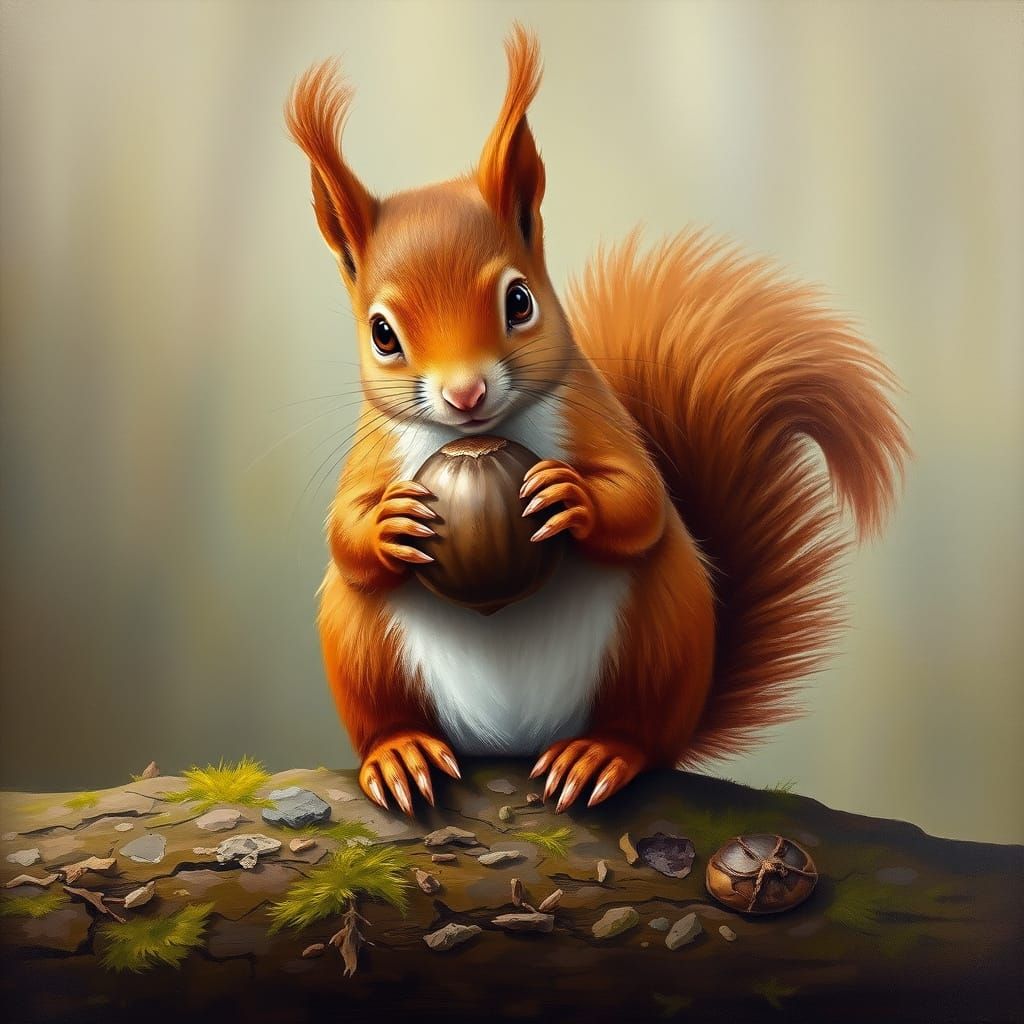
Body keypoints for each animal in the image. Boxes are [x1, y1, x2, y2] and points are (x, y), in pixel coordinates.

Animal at [285, 26, 909, 816]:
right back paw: (400, 751)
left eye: (519, 301)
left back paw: (601, 754)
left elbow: (640, 498)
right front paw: (387, 522)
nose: (465, 395)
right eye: (382, 335)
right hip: (359, 642)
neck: (482, 439)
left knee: (641, 728)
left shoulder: (594, 414)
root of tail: (511, 741)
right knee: (379, 690)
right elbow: (344, 533)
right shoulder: (375, 445)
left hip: (661, 630)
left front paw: (572, 496)